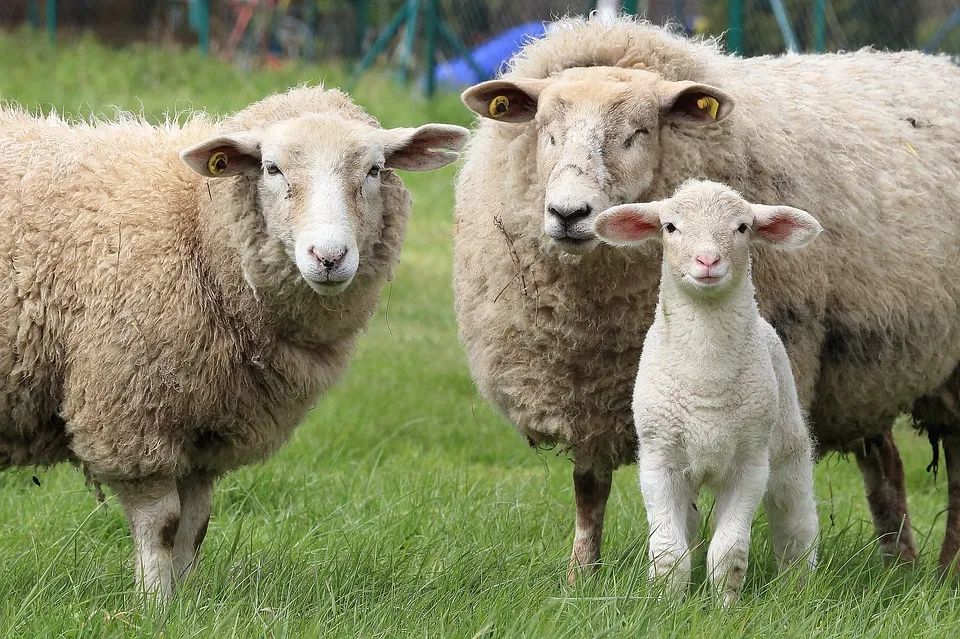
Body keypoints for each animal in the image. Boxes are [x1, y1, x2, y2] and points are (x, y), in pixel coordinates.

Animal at [0, 85, 469, 598]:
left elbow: (195, 525)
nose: (328, 257)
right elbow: (161, 524)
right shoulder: (129, 414)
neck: (195, 225)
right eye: (272, 168)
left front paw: (186, 601)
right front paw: (154, 602)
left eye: (374, 169)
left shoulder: (206, 429)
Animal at [593, 180, 820, 604]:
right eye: (670, 227)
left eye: (743, 227)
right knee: (691, 524)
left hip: (787, 445)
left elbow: (729, 552)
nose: (708, 261)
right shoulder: (659, 461)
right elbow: (669, 552)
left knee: (796, 521)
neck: (706, 381)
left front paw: (725, 607)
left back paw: (798, 588)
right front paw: (667, 603)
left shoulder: (750, 464)